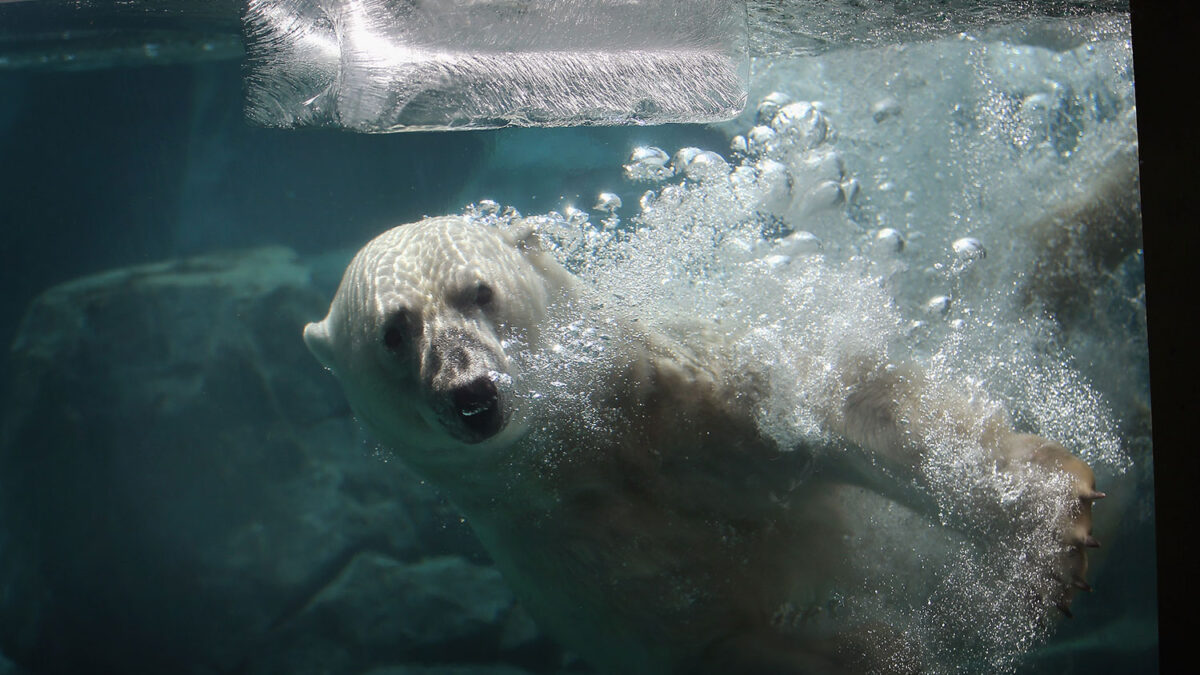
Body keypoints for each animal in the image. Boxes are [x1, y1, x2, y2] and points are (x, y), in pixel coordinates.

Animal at [304, 214, 1099, 672]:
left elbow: (853, 411)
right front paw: (878, 648)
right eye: (395, 331)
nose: (471, 394)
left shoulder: (691, 398)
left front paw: (1049, 537)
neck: (594, 448)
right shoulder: (578, 566)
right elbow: (722, 638)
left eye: (478, 292)